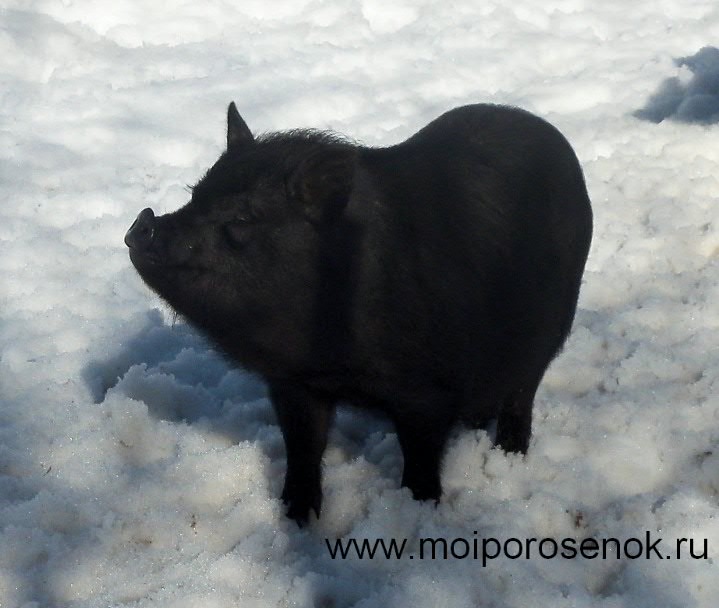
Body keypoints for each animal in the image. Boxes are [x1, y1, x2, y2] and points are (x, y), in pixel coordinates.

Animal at [126, 102, 592, 524]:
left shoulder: (427, 392)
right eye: (195, 195)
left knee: (521, 395)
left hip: (550, 331)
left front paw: (417, 510)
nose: (142, 223)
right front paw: (297, 518)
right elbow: (303, 448)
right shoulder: (295, 385)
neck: (332, 358)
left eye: (243, 217)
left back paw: (509, 454)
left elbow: (422, 459)